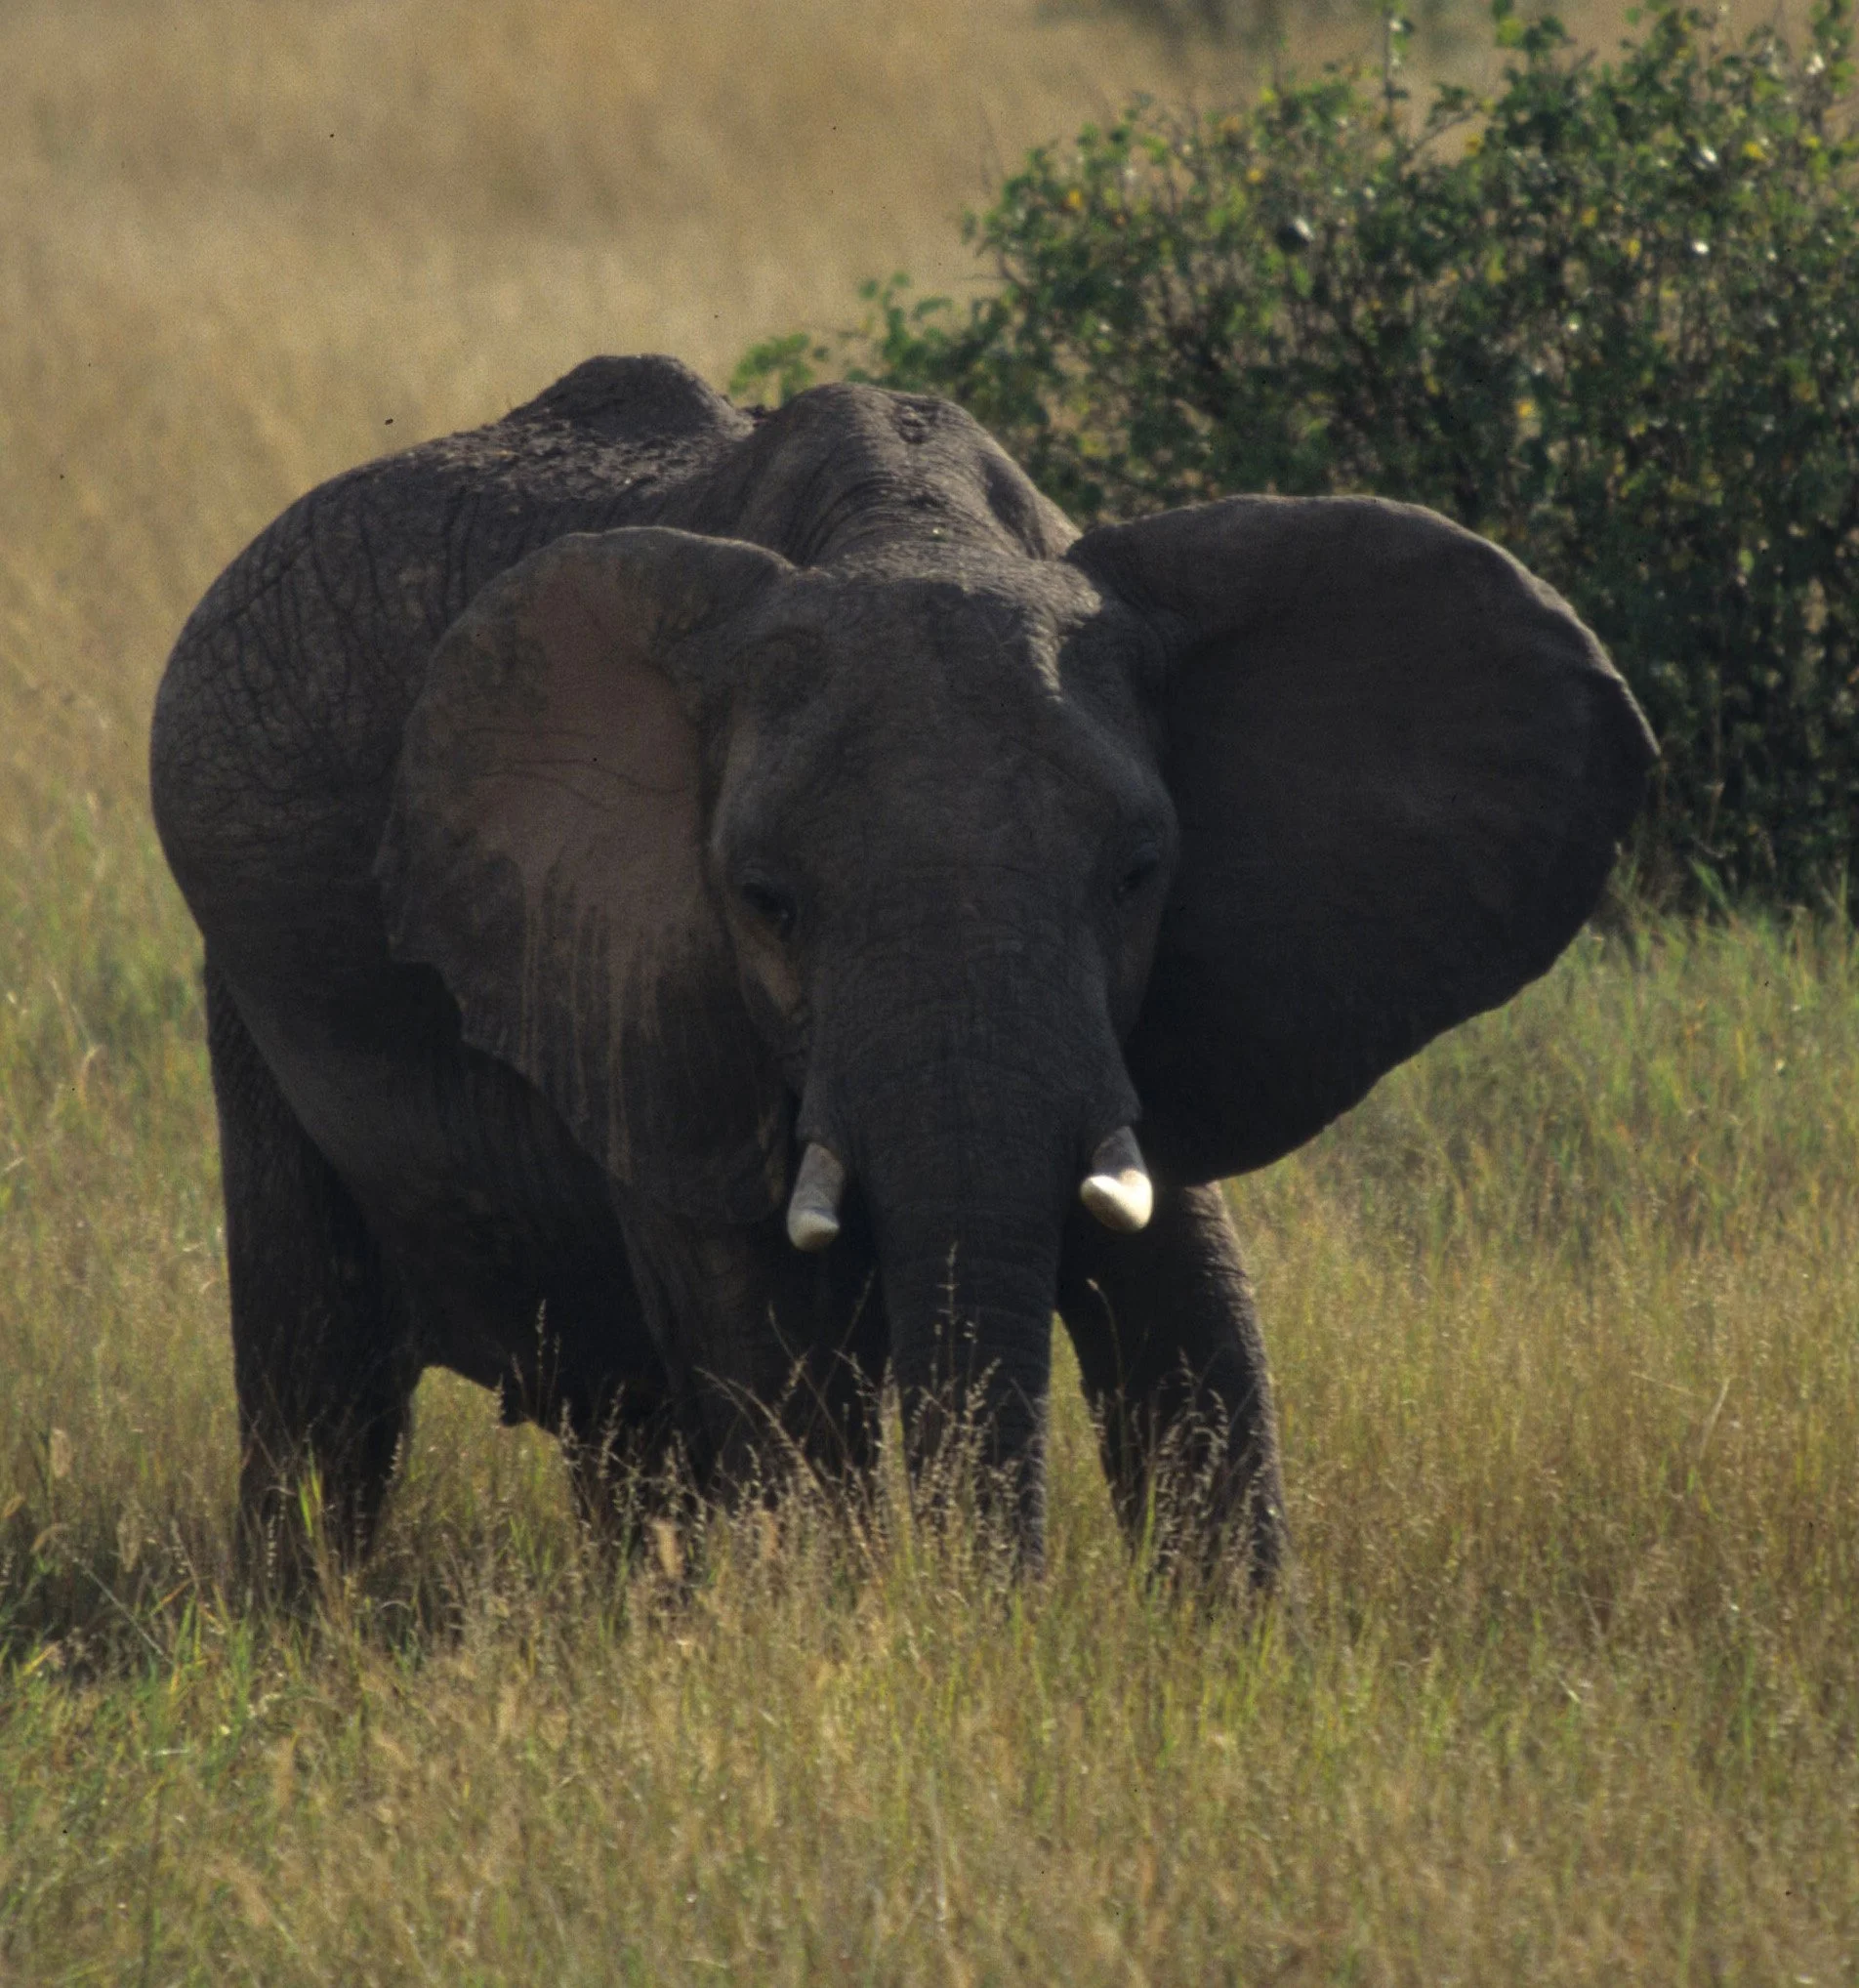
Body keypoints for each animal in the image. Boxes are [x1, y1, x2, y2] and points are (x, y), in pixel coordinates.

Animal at [149, 354, 1655, 1581]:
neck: (913, 526)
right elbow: (771, 1349)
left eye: (1139, 874)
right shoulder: (635, 969)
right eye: (768, 902)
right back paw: (309, 1625)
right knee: (322, 1377)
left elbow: (1197, 1314)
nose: (1004, 1620)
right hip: (248, 996)